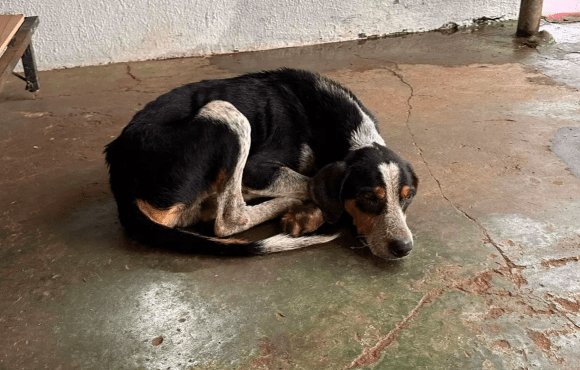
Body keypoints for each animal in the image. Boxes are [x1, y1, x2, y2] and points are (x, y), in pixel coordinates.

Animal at [104, 68, 420, 260]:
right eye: (368, 198)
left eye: (408, 197)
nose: (403, 248)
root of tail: (118, 175)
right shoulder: (256, 168)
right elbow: (315, 187)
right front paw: (310, 212)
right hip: (226, 112)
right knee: (229, 218)